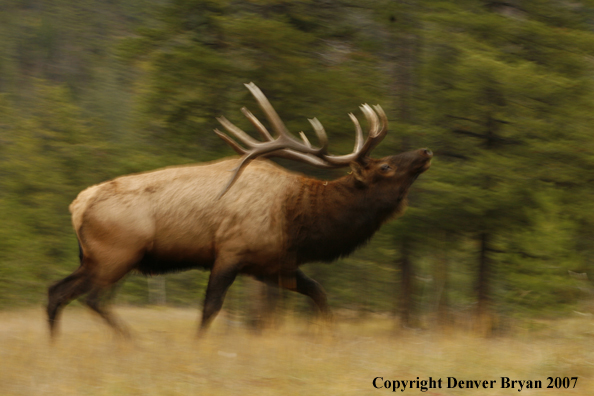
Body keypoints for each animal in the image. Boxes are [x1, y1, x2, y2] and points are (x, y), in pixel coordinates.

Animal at [46, 83, 430, 338]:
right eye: (385, 167)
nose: (425, 152)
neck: (301, 221)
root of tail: (78, 204)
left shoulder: (272, 265)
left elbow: (319, 294)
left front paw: (328, 337)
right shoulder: (231, 251)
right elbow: (210, 308)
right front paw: (197, 347)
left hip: (94, 258)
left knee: (57, 291)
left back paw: (57, 347)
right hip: (119, 253)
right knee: (93, 298)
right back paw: (131, 342)